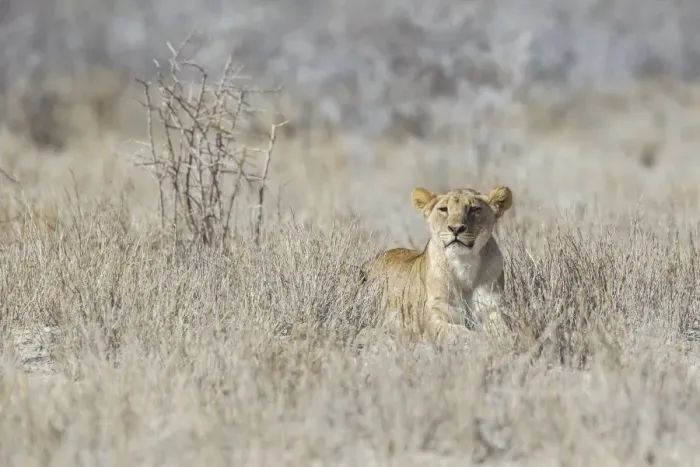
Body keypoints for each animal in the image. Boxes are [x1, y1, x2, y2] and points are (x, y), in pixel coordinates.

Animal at [360, 185, 513, 345]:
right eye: (443, 209)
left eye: (474, 209)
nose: (455, 229)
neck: (464, 263)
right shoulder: (434, 317)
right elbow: (459, 332)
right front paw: (479, 338)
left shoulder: (492, 309)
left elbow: (505, 328)